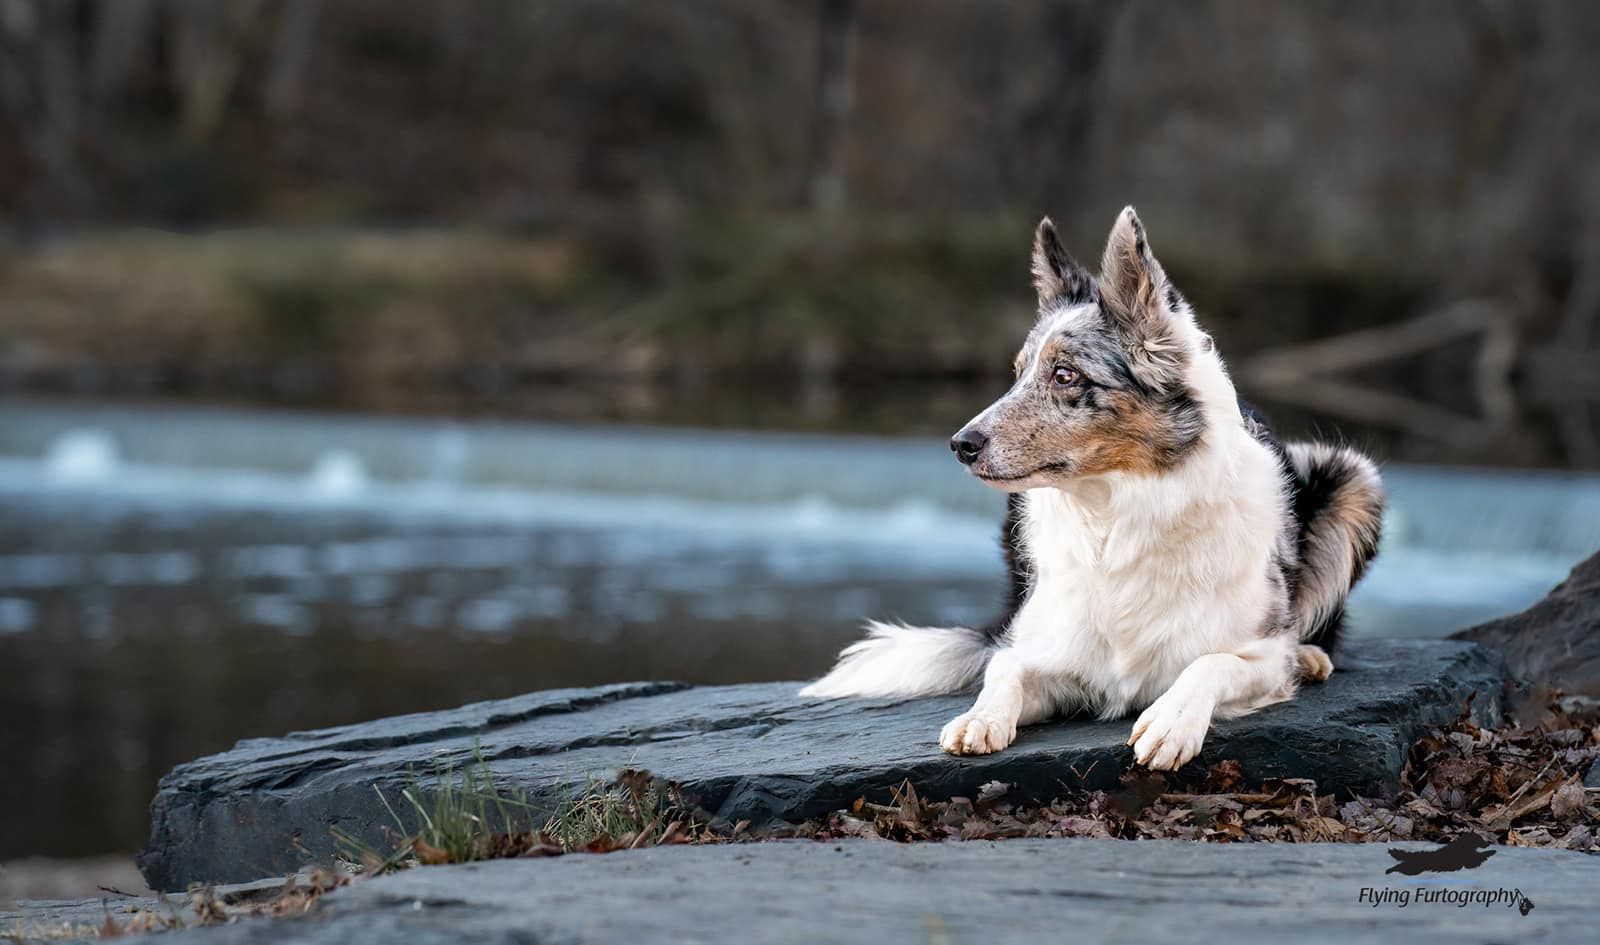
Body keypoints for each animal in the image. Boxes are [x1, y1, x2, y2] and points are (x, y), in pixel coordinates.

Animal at [801, 207, 1384, 771]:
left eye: (1065, 375)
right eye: (1017, 373)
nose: (960, 444)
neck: (1113, 519)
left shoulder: (1260, 657)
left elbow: (1209, 662)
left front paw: (1172, 721)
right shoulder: (1047, 653)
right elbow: (1003, 671)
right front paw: (978, 719)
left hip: (1352, 475)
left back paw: (1310, 656)